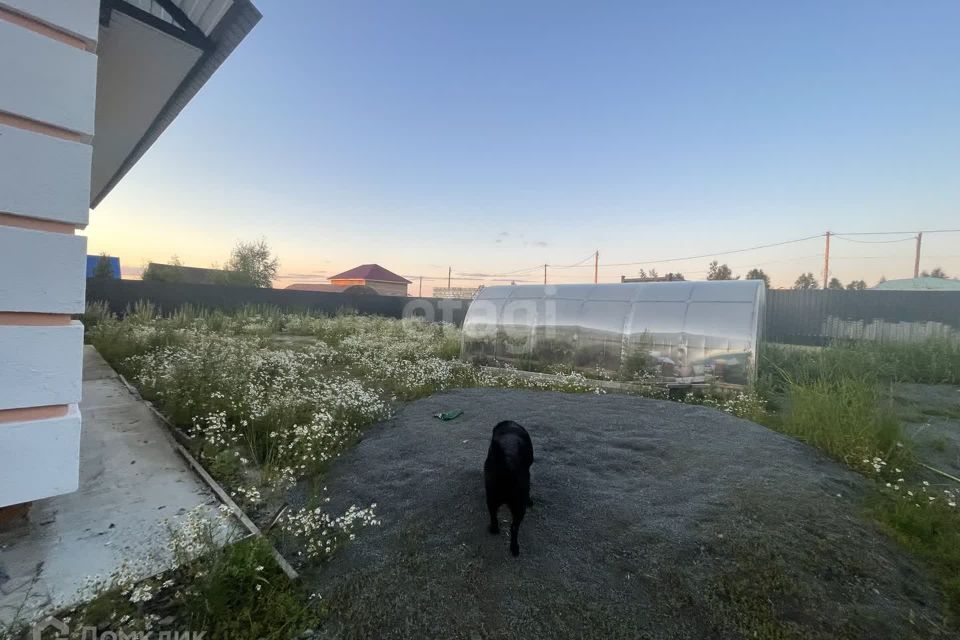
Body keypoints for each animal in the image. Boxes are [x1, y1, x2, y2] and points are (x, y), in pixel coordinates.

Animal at [484, 420, 536, 556]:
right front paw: (530, 501)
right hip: (519, 505)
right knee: (514, 528)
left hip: (492, 498)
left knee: (494, 516)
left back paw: (496, 531)